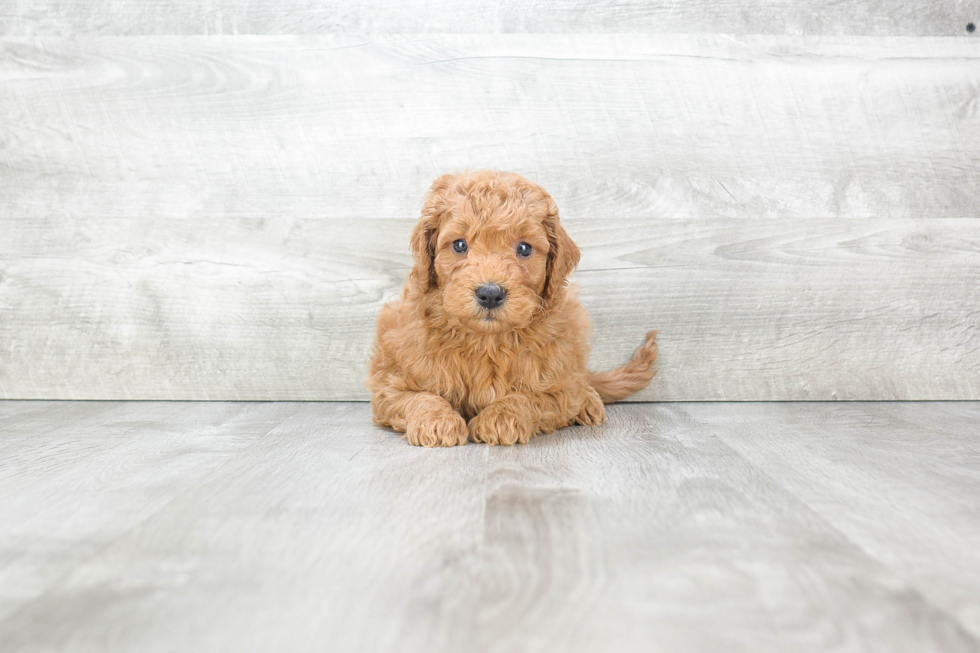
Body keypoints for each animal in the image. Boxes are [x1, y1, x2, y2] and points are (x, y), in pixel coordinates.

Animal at [368, 168, 660, 446]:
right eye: (460, 244)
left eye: (524, 248)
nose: (490, 294)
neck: (485, 341)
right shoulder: (389, 384)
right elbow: (419, 396)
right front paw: (437, 421)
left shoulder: (558, 388)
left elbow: (530, 397)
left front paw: (500, 417)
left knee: (580, 380)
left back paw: (589, 401)